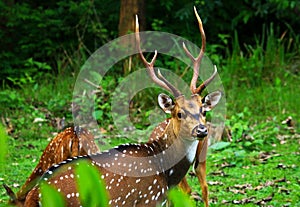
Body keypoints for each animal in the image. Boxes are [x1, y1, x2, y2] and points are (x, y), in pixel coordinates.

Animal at [23, 6, 221, 207]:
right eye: (179, 113)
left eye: (203, 111)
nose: (202, 130)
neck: (166, 174)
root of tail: (35, 194)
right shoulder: (148, 200)